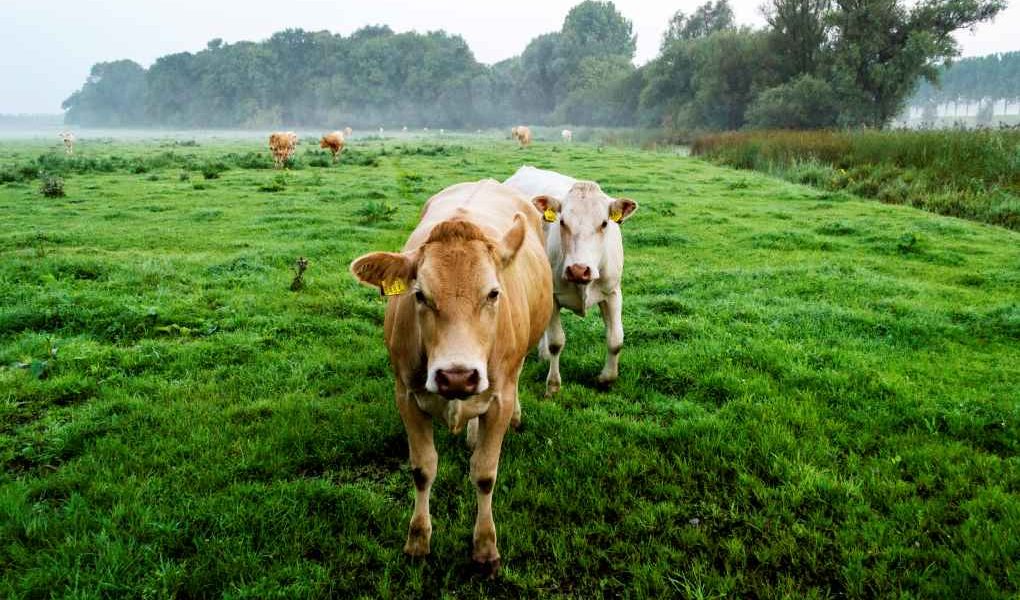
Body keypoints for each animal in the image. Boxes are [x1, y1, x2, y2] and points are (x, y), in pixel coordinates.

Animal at [350, 180, 553, 575]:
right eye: (419, 295)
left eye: (493, 293)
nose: (457, 377)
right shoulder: (406, 396)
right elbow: (422, 469)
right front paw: (417, 540)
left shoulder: (500, 397)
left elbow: (485, 474)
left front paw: (486, 547)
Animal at [503, 165, 638, 395]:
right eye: (562, 222)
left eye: (604, 223)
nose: (578, 270)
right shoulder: (553, 296)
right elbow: (556, 342)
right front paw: (553, 385)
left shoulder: (612, 292)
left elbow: (615, 340)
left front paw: (606, 379)